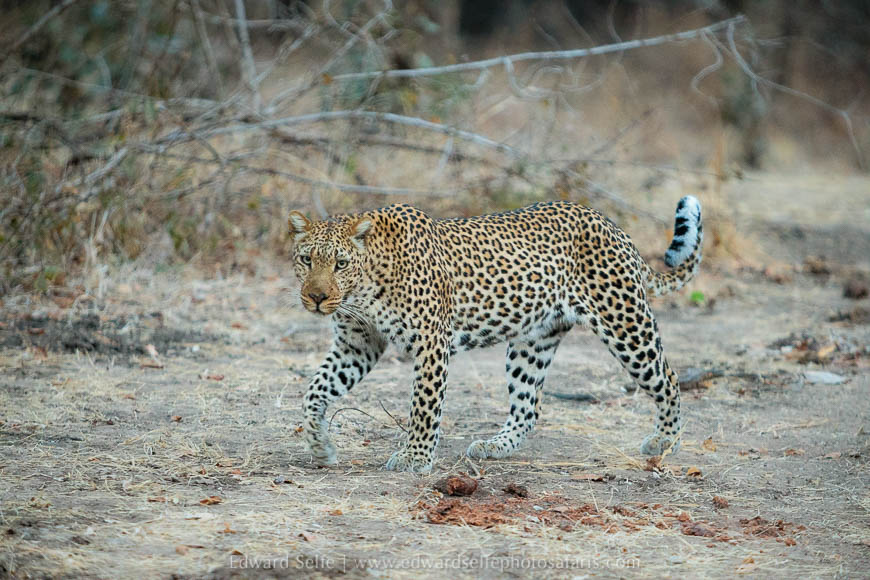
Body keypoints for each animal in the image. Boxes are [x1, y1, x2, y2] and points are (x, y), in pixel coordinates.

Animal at [288, 196, 703, 473]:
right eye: (306, 260)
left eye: (341, 263)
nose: (316, 297)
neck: (364, 286)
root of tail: (613, 226)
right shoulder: (357, 344)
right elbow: (315, 389)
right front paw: (319, 445)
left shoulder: (431, 343)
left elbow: (424, 406)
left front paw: (415, 457)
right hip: (533, 341)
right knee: (528, 406)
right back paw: (494, 446)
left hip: (625, 323)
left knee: (668, 377)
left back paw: (665, 441)